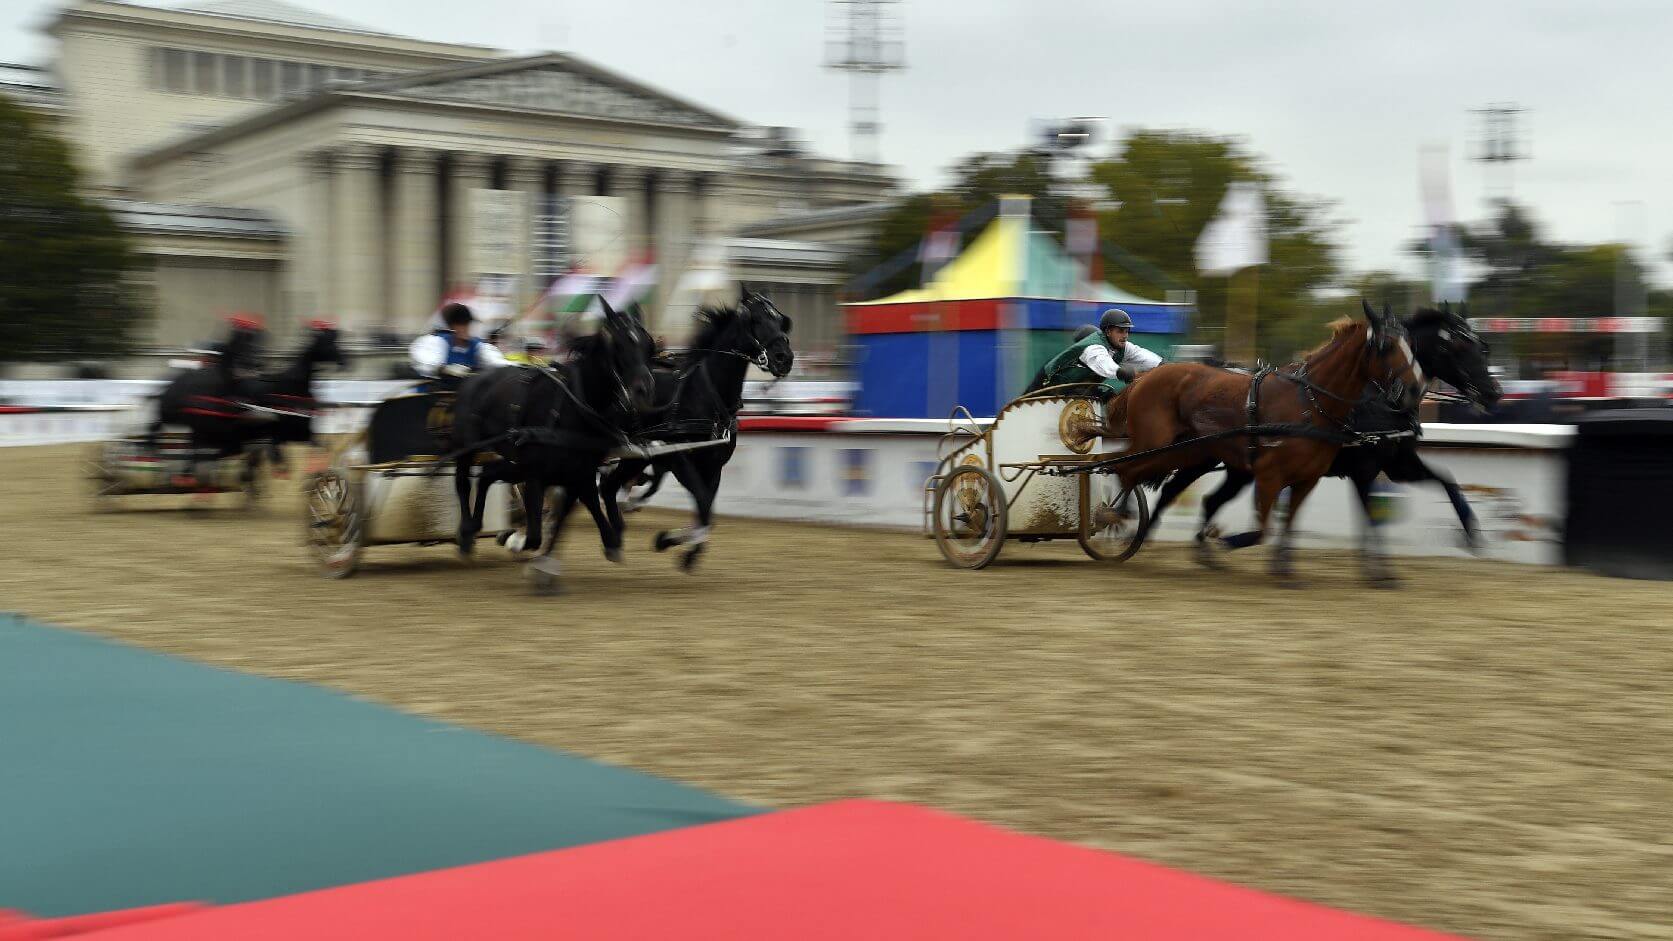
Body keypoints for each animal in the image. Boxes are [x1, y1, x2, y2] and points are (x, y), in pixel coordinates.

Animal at [451, 299, 659, 589]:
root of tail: (475, 375)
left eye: (648, 344)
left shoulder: (579, 473)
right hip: (468, 447)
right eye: (619, 344)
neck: (573, 410)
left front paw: (548, 565)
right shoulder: (538, 474)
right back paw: (467, 534)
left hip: (516, 460)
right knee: (462, 483)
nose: (645, 390)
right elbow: (536, 533)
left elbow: (573, 512)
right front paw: (516, 542)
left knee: (487, 475)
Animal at [598, 284, 793, 562]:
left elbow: (707, 511)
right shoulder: (680, 460)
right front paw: (676, 545)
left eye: (780, 320)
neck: (707, 396)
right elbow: (702, 503)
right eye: (754, 319)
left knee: (609, 486)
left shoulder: (714, 466)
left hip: (634, 457)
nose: (783, 358)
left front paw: (674, 541)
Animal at [1144, 304, 1499, 582]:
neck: (1376, 402)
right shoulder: (1364, 469)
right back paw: (1150, 534)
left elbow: (1446, 481)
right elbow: (1370, 516)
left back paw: (1203, 550)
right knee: (1172, 490)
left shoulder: (1398, 464)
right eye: (1455, 348)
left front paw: (1470, 532)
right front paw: (1379, 571)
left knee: (1210, 501)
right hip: (1199, 457)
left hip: (1238, 469)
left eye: (1482, 347)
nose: (1493, 392)